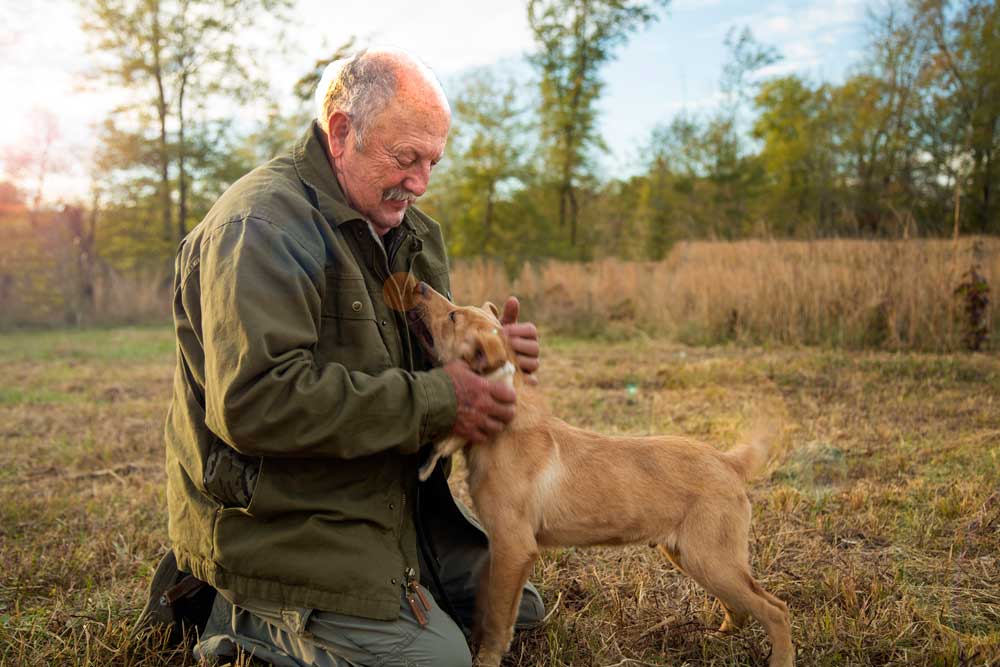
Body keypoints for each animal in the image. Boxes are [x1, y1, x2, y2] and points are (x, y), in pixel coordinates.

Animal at [410, 282, 792, 667]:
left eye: (453, 316)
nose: (420, 286)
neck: (509, 427)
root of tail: (727, 461)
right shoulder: (501, 550)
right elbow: (487, 605)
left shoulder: (513, 547)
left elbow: (496, 620)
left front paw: (486, 658)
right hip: (690, 555)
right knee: (742, 608)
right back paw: (715, 638)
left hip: (712, 559)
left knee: (776, 610)